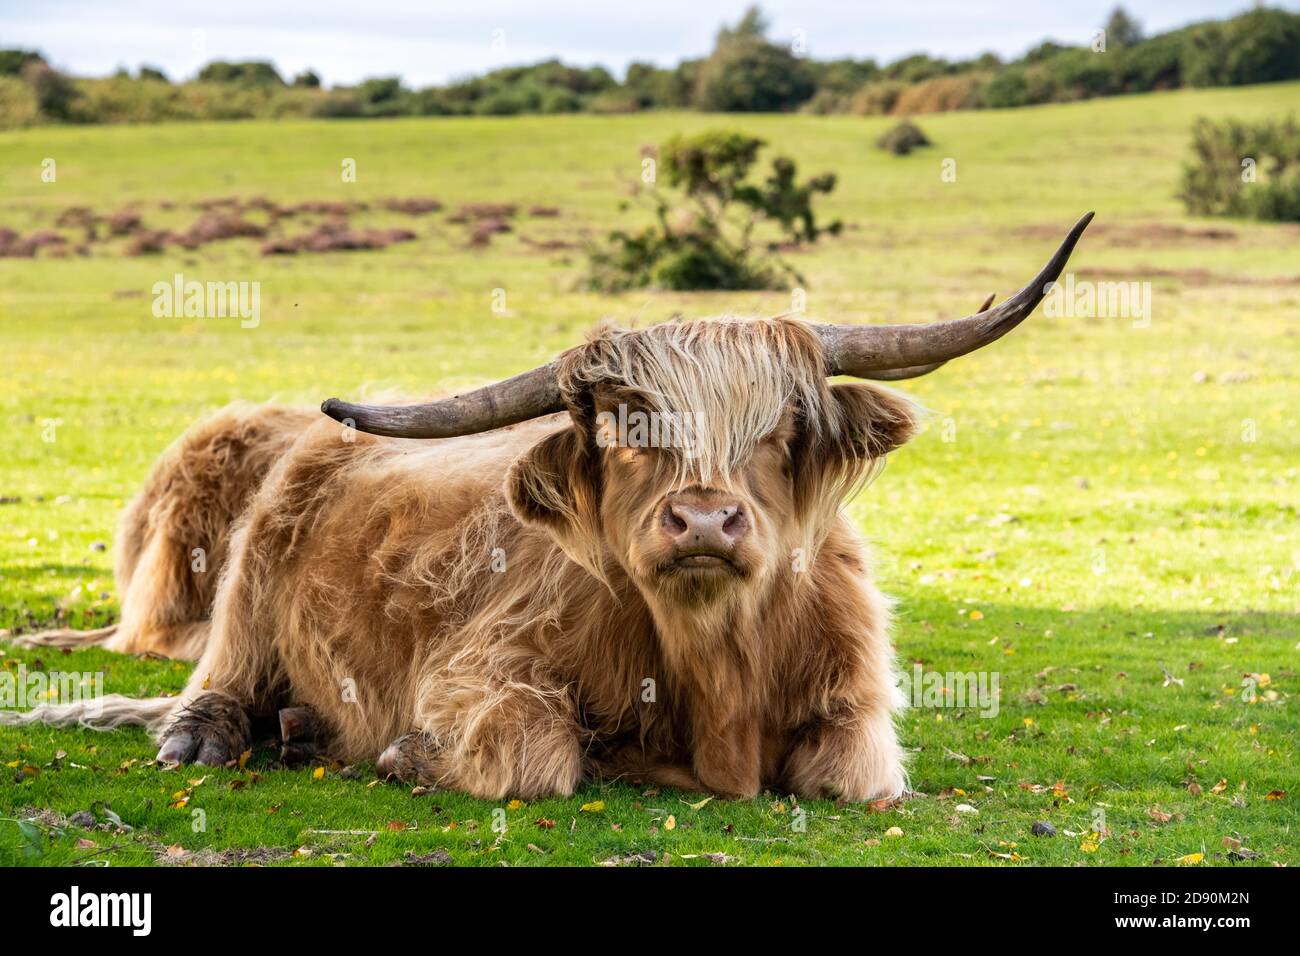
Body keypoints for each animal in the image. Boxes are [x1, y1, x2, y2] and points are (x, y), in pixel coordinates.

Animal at [3, 214, 1092, 800]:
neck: (712, 672)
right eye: (622, 427)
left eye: (781, 427)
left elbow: (851, 772)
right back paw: (215, 734)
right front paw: (409, 752)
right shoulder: (483, 670)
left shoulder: (859, 716)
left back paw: (303, 730)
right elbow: (536, 755)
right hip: (247, 588)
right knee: (216, 678)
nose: (703, 523)